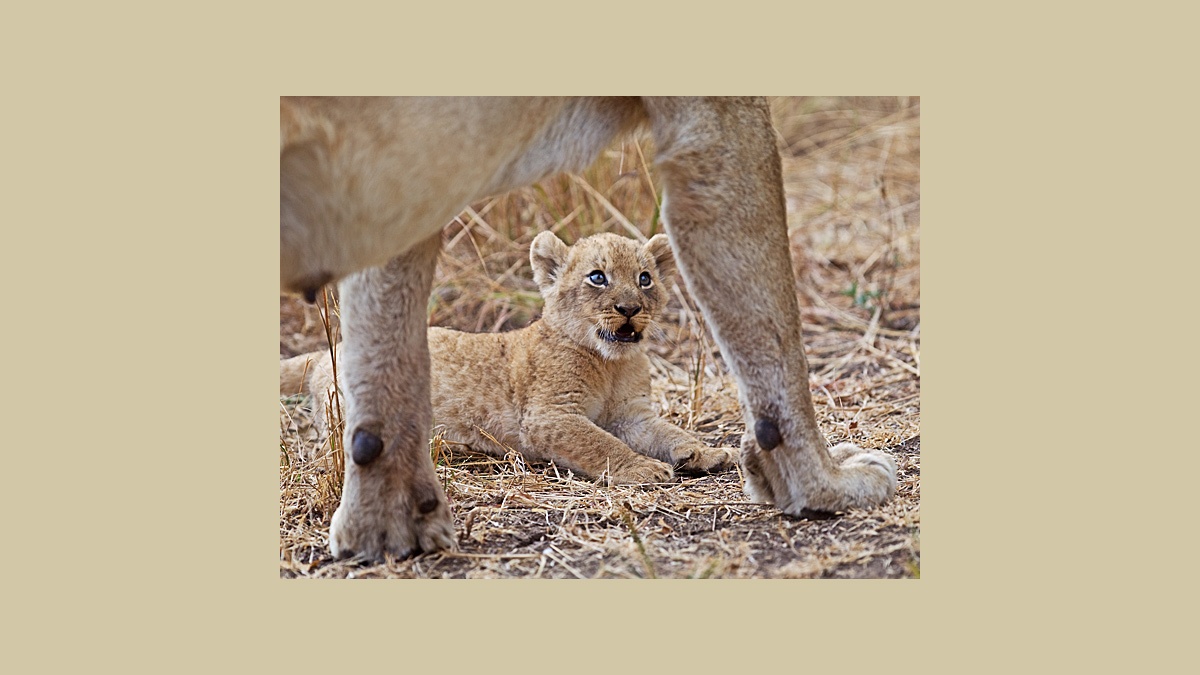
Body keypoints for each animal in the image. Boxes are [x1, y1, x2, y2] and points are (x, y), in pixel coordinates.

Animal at [282, 232, 738, 484]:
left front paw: (703, 452)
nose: (630, 309)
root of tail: (328, 352)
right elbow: (600, 442)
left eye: (645, 279)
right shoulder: (548, 417)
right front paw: (642, 469)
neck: (611, 363)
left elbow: (667, 431)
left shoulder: (633, 416)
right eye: (597, 277)